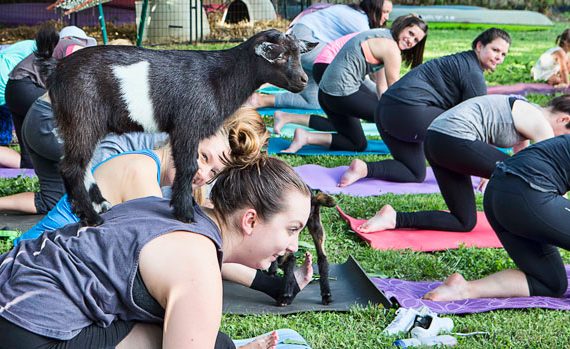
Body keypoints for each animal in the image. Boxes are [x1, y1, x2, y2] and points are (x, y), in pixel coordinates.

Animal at [36, 25, 316, 224]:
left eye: (298, 53)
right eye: (279, 56)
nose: (303, 80)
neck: (220, 77)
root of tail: (55, 68)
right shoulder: (187, 124)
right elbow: (189, 167)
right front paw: (185, 213)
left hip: (71, 122)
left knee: (78, 164)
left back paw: (94, 206)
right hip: (82, 118)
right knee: (72, 167)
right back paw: (93, 218)